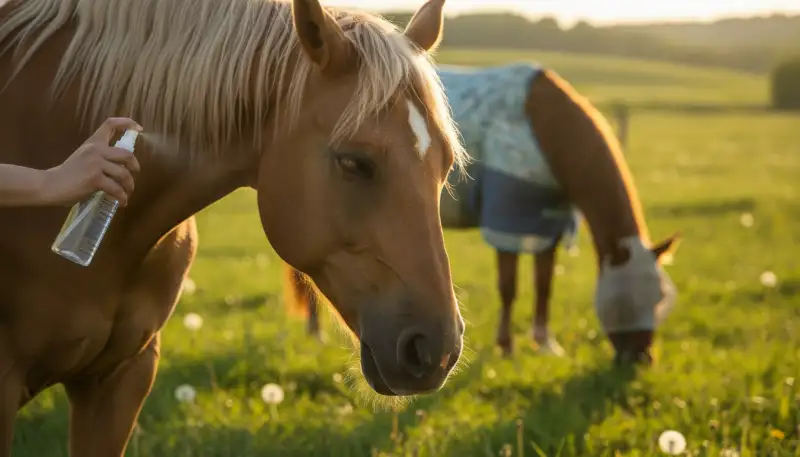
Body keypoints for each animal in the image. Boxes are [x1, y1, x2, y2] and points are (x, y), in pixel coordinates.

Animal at [283, 61, 680, 365]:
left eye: (661, 299)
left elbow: (544, 285)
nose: (641, 360)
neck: (540, 124)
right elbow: (509, 287)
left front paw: (544, 343)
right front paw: (506, 346)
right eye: (630, 300)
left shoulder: (544, 223)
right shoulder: (506, 219)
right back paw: (315, 332)